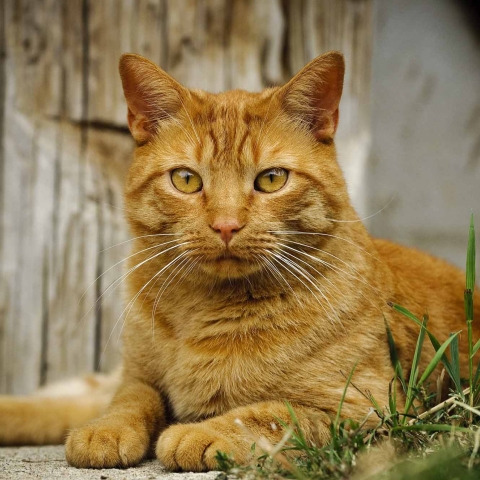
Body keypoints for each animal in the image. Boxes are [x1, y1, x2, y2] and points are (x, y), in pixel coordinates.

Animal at [0, 52, 478, 472]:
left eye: (271, 179)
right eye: (186, 179)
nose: (226, 225)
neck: (202, 310)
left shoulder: (369, 409)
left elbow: (270, 412)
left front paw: (202, 432)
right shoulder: (137, 375)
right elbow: (132, 398)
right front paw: (107, 429)